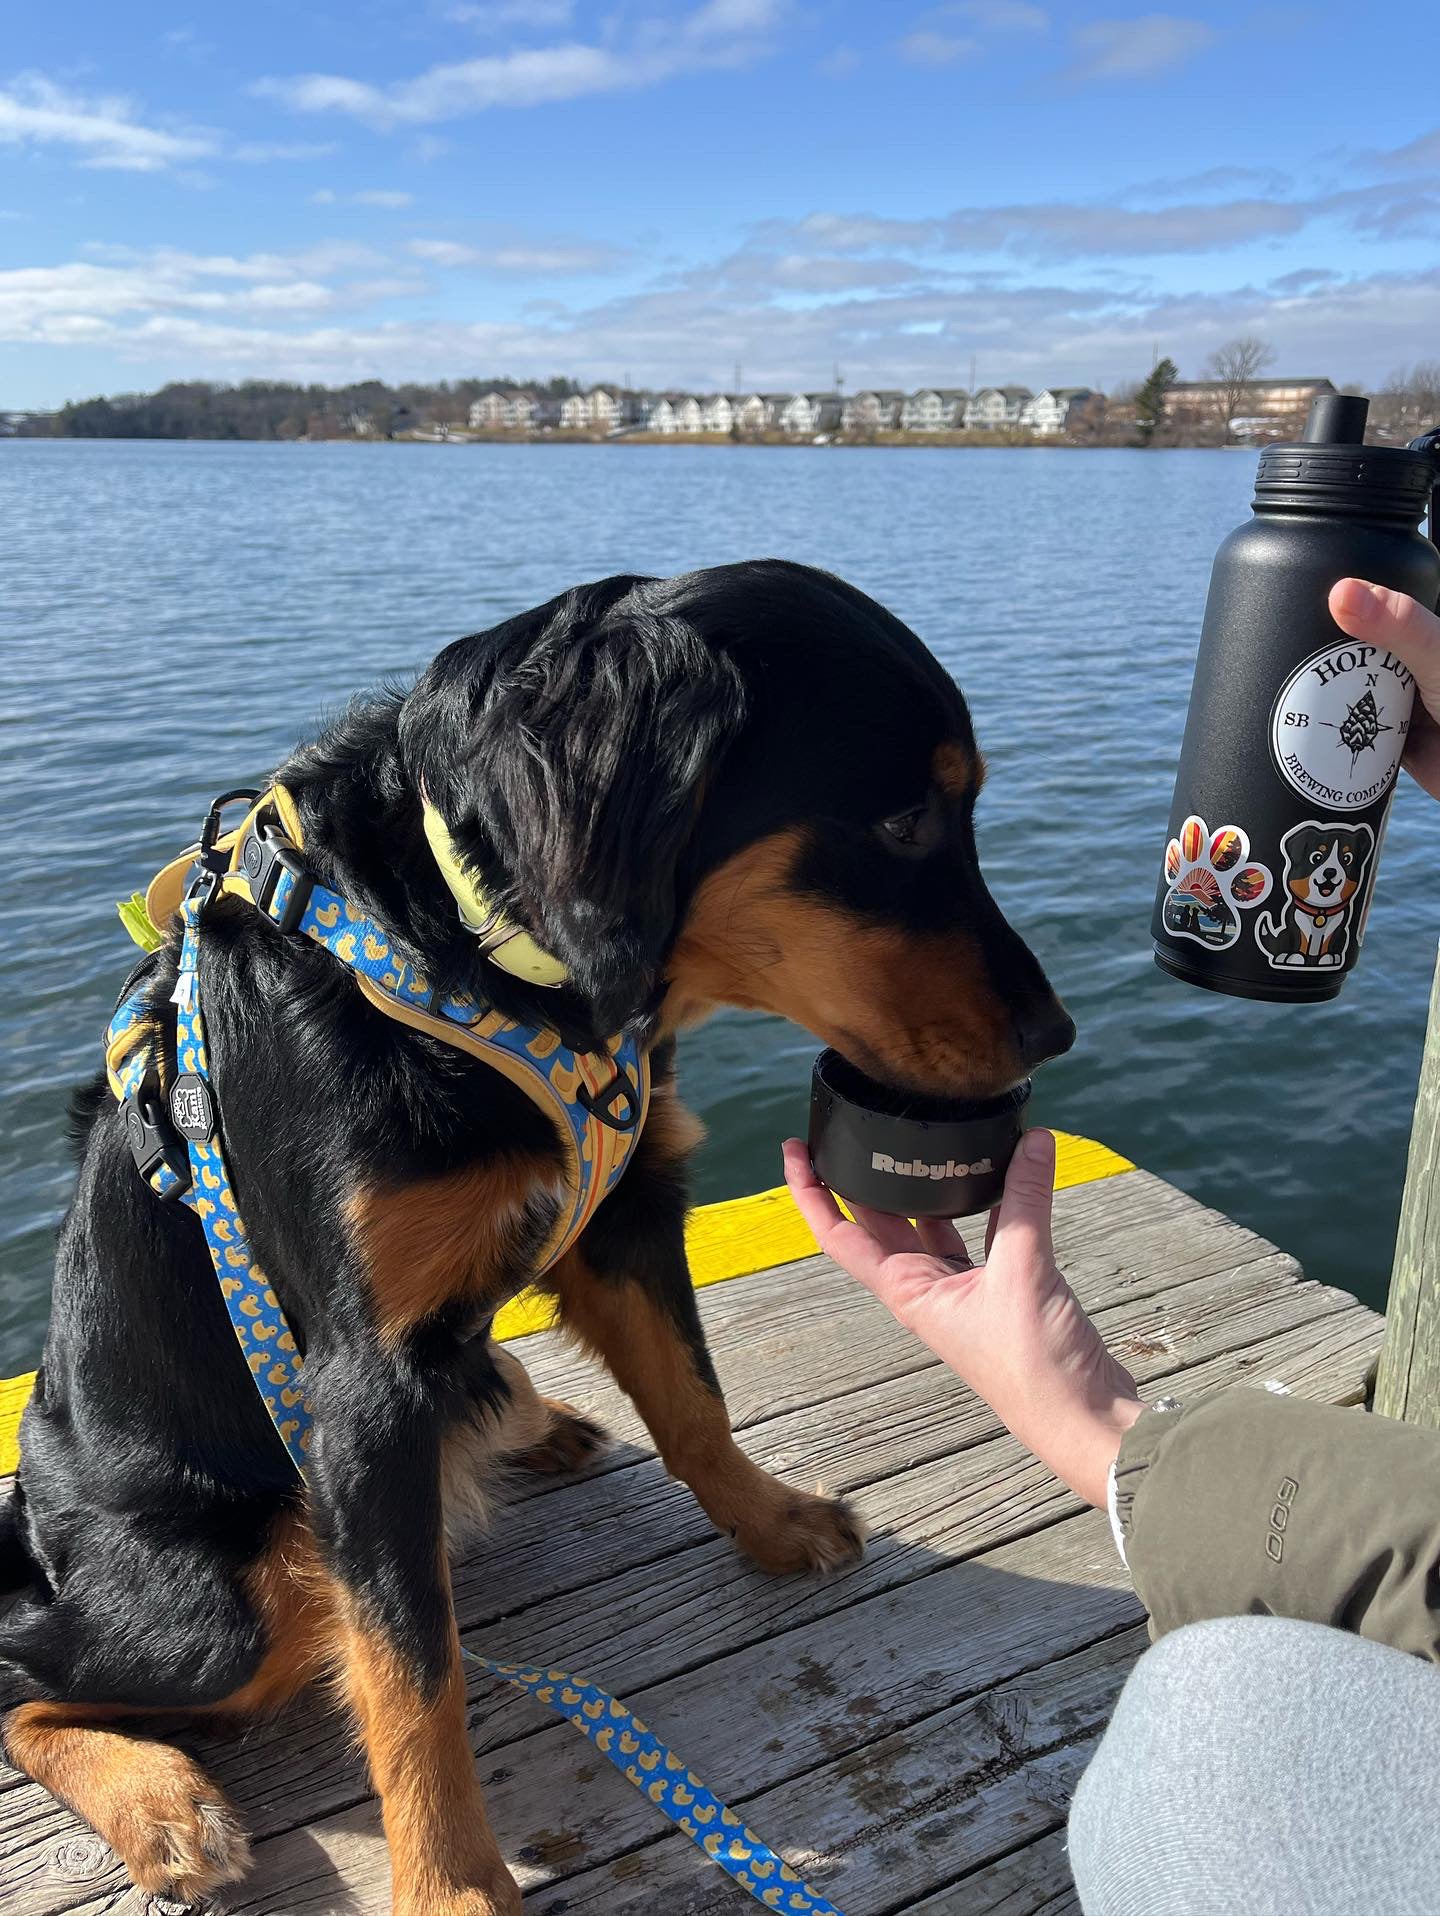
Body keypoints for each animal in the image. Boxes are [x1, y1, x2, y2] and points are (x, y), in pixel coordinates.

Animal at [0, 559, 1072, 1916]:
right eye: (902, 823)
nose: (1054, 1033)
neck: (473, 958)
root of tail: (35, 1526)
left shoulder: (623, 1212)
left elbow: (695, 1399)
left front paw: (770, 1519)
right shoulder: (358, 1387)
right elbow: (412, 1667)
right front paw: (452, 1884)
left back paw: (528, 1416)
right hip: (222, 1604)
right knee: (26, 1683)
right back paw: (164, 1804)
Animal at [1256, 823, 1371, 973]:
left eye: (1347, 859)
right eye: (1316, 857)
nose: (1330, 871)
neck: (1320, 910)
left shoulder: (1337, 928)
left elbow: (1328, 943)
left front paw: (1328, 957)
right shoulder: (1297, 924)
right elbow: (1302, 942)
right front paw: (1296, 957)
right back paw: (1283, 956)